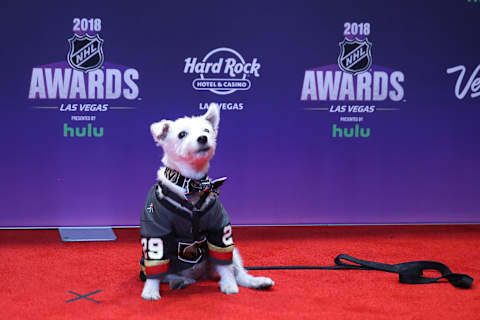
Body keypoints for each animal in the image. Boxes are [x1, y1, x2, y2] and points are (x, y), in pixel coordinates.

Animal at [140, 103, 274, 300]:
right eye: (182, 134)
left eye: (207, 130)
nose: (203, 138)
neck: (191, 183)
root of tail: (201, 274)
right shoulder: (155, 231)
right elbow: (156, 265)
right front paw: (150, 290)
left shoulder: (220, 230)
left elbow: (226, 266)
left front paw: (229, 285)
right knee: (166, 275)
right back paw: (180, 281)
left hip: (231, 252)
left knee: (235, 270)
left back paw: (255, 282)